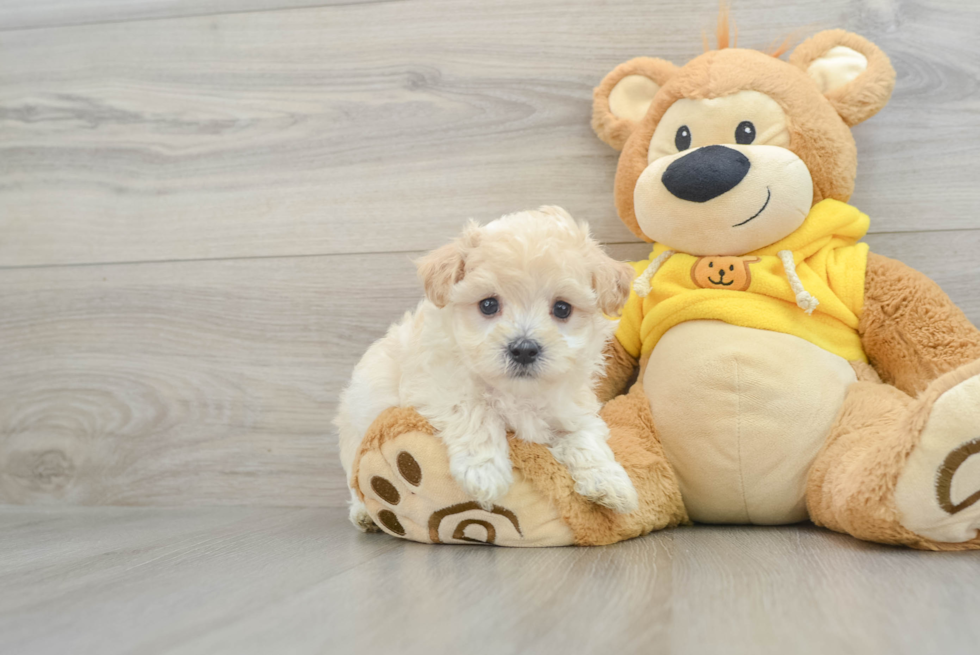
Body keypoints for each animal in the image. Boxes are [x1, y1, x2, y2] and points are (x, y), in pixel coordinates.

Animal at [336, 208, 640, 532]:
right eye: (488, 304)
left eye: (562, 308)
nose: (524, 349)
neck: (516, 391)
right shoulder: (439, 385)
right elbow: (475, 411)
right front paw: (485, 472)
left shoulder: (571, 407)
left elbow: (584, 436)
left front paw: (610, 482)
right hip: (356, 429)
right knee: (355, 478)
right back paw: (363, 513)